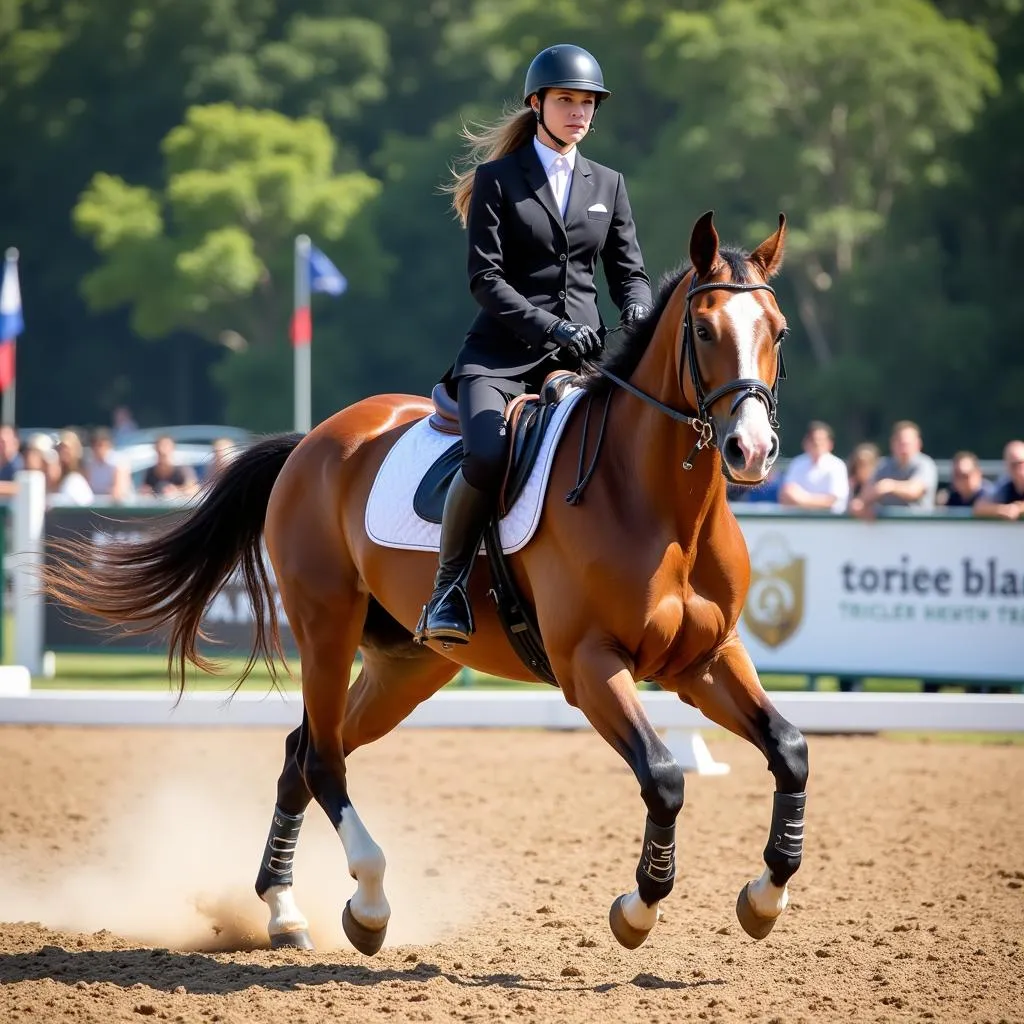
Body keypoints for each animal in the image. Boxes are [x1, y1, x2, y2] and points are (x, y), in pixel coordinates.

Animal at [41, 211, 806, 954]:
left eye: (777, 333)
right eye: (703, 330)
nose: (752, 450)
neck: (661, 507)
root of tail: (315, 439)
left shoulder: (704, 659)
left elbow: (789, 751)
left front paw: (765, 897)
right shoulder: (589, 664)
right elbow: (665, 776)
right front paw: (638, 908)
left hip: (407, 665)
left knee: (303, 752)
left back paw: (284, 912)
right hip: (326, 627)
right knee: (323, 760)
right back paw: (368, 905)